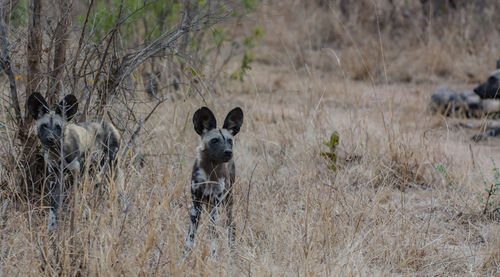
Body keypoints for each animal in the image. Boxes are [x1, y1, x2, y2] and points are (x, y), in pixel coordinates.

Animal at [27, 92, 121, 231]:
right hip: (94, 171)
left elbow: (73, 204)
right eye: (44, 126)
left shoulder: (76, 176)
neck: (58, 152)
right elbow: (54, 207)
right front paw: (52, 228)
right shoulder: (55, 177)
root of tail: (110, 125)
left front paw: (72, 227)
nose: (50, 138)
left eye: (58, 127)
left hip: (109, 170)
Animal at [186, 106, 244, 253]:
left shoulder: (216, 202)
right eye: (214, 140)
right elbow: (191, 235)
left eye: (230, 140)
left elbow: (213, 233)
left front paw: (213, 253)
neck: (209, 170)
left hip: (228, 202)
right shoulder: (196, 203)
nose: (228, 152)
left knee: (231, 226)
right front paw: (186, 255)